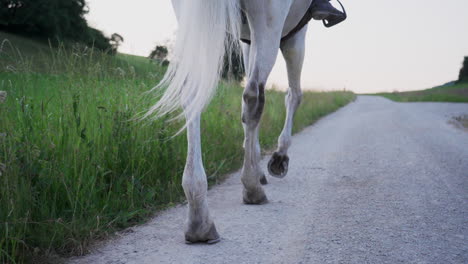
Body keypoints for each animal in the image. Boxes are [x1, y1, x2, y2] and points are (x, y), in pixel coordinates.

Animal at [148, 0, 346, 243]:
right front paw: (278, 158)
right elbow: (294, 95)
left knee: (193, 92)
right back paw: (252, 189)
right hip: (268, 19)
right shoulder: (295, 38)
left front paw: (258, 163)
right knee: (254, 96)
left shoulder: (247, 43)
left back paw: (198, 215)